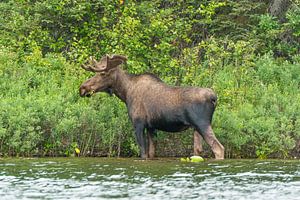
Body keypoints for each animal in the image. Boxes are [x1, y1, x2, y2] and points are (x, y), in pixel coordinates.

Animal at [78, 54, 224, 159]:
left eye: (102, 73)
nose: (82, 88)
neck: (125, 93)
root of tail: (214, 98)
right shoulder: (151, 127)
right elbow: (152, 153)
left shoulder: (138, 123)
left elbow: (143, 153)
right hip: (196, 128)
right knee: (198, 150)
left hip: (202, 123)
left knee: (218, 148)